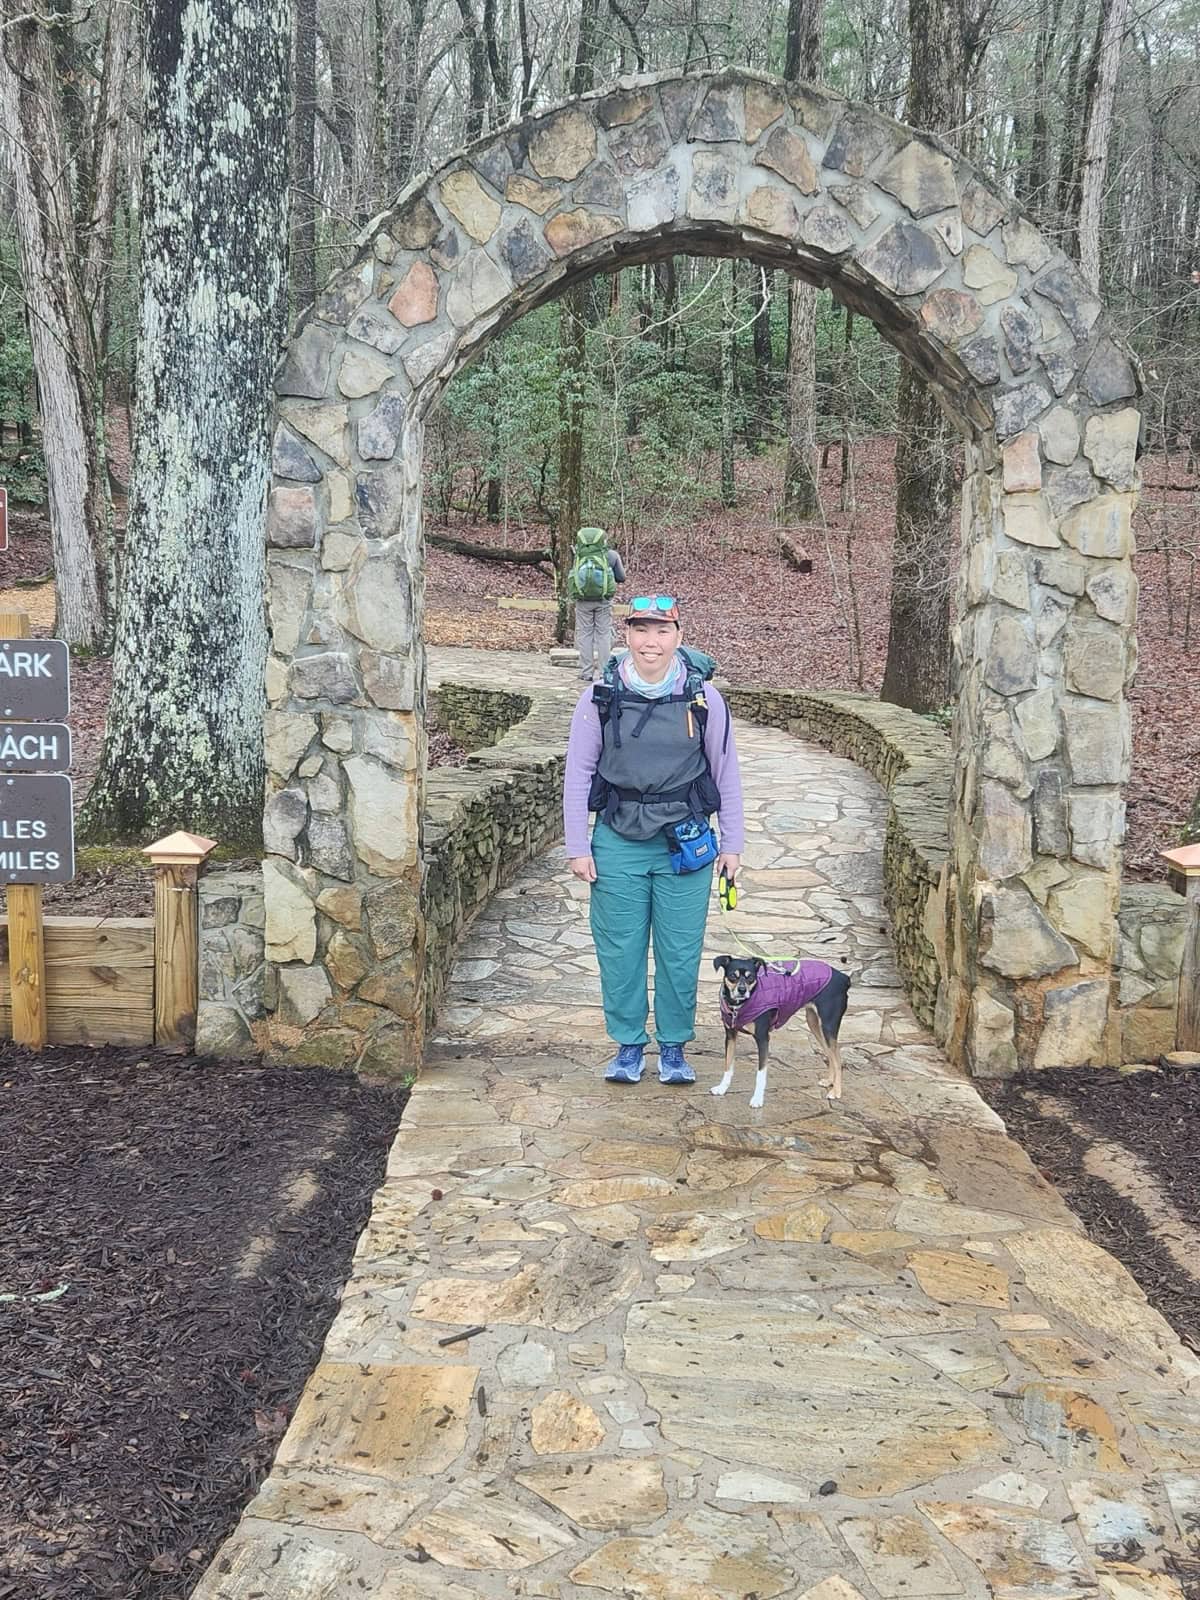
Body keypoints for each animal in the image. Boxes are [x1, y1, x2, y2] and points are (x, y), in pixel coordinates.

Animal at [711, 955, 851, 1108]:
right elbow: (728, 1066)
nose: (742, 990)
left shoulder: (762, 1038)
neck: (739, 1006)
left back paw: (836, 1091)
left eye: (751, 977)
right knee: (830, 1054)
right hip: (814, 1024)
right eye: (732, 976)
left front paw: (757, 1099)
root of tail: (843, 977)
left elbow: (760, 1074)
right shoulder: (730, 1035)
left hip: (828, 1026)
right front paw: (722, 1088)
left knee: (837, 1058)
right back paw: (829, 1081)